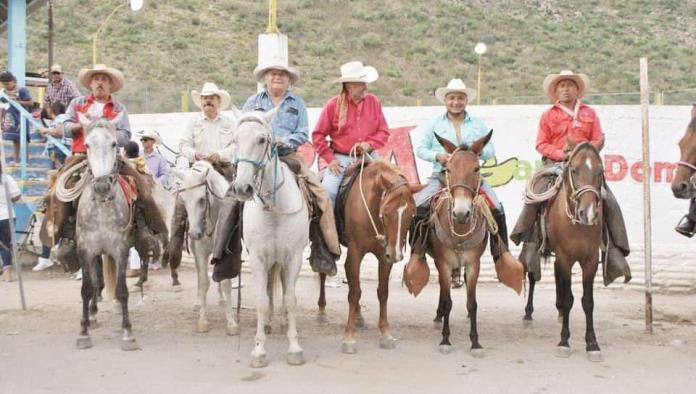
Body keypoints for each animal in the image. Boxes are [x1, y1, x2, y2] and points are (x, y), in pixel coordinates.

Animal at [173, 160, 241, 336]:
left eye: (202, 199)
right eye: (184, 200)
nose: (195, 233)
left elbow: (226, 283)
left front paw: (231, 323)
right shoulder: (200, 252)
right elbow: (203, 282)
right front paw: (203, 321)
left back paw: (222, 299)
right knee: (199, 275)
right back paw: (198, 303)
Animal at [231, 107, 310, 366]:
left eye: (261, 139)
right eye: (235, 140)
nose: (242, 188)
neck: (274, 210)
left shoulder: (294, 258)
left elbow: (291, 299)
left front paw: (294, 348)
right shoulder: (257, 258)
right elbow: (261, 301)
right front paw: (259, 350)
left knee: (284, 289)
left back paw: (283, 320)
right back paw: (267, 323)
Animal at [340, 160, 422, 354]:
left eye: (411, 215)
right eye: (385, 213)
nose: (397, 255)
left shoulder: (385, 257)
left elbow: (383, 292)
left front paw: (385, 333)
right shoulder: (355, 252)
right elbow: (354, 292)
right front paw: (349, 337)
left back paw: (358, 317)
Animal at [528, 138, 604, 360]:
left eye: (601, 171)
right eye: (574, 169)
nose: (588, 213)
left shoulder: (590, 260)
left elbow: (588, 301)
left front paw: (592, 344)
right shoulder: (565, 257)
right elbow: (570, 298)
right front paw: (564, 341)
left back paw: (560, 311)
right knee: (532, 275)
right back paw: (529, 312)